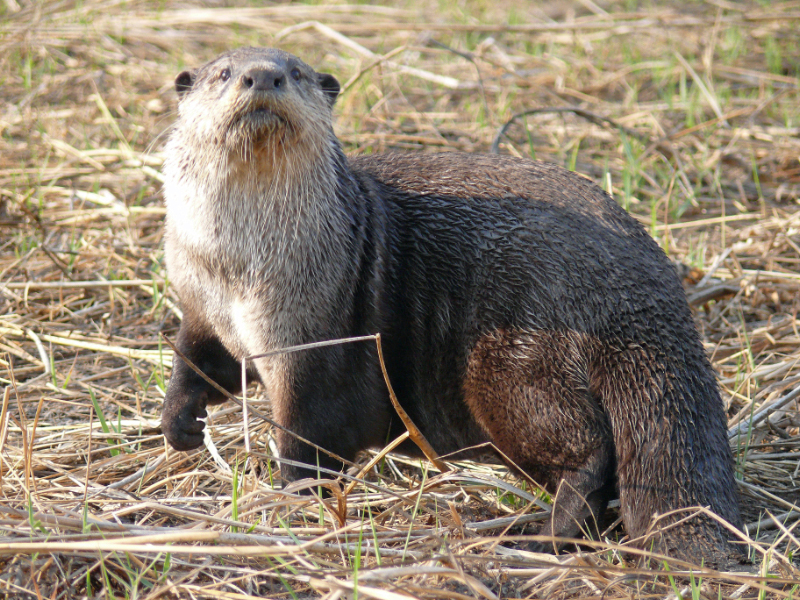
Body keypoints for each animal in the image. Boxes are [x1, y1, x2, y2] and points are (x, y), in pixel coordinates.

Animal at [160, 47, 744, 564]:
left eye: (296, 72)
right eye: (223, 72)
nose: (262, 77)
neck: (242, 273)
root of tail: (644, 290)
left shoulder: (314, 339)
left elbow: (309, 431)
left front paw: (297, 501)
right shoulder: (201, 304)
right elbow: (195, 360)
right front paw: (180, 425)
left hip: (514, 364)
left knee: (587, 451)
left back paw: (542, 537)